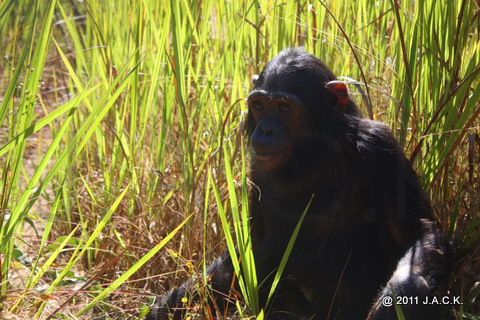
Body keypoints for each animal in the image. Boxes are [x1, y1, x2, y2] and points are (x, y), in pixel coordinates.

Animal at [147, 47, 454, 320]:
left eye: (284, 108)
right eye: (259, 106)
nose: (265, 129)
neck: (312, 153)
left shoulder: (380, 150)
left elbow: (413, 230)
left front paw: (398, 298)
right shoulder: (257, 171)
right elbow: (246, 252)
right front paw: (165, 309)